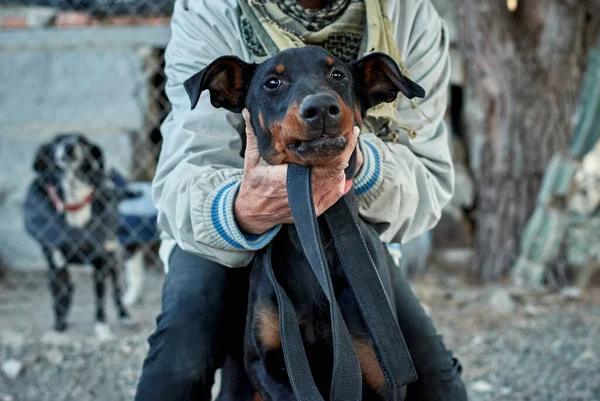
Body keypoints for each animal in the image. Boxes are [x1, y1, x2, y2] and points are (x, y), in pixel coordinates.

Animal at [23, 133, 135, 332]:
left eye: (82, 141)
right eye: (57, 140)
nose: (69, 145)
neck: (75, 202)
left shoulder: (101, 262)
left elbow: (100, 298)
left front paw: (101, 328)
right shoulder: (56, 264)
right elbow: (58, 297)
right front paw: (59, 326)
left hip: (113, 259)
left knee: (116, 290)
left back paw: (124, 316)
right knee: (69, 289)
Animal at [185, 45, 424, 398]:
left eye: (337, 75)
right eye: (272, 82)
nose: (321, 108)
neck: (311, 238)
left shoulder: (381, 373)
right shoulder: (268, 365)